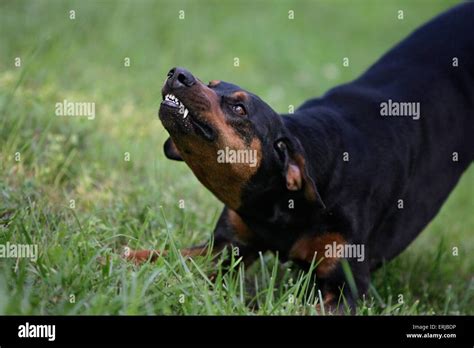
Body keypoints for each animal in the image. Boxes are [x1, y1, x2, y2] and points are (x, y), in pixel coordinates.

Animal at [124, 3, 472, 310]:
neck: (280, 205)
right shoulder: (224, 248)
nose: (177, 73)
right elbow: (157, 256)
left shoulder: (346, 287)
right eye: (211, 84)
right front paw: (118, 257)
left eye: (239, 108)